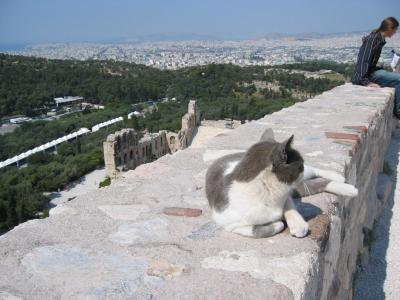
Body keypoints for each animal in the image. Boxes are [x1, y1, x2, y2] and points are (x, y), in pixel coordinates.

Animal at [205, 134, 358, 239]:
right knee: (314, 184)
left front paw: (298, 224)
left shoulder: (286, 196)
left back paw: (344, 182)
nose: (303, 169)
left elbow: (289, 208)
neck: (271, 193)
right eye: (300, 165)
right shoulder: (230, 223)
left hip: (303, 181)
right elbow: (269, 227)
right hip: (299, 186)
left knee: (314, 172)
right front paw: (281, 222)